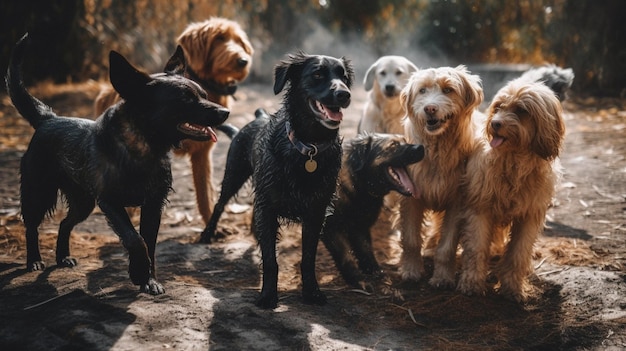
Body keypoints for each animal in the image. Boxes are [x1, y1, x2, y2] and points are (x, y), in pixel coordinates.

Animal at [6, 34, 229, 296]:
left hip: (83, 203)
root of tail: (47, 119)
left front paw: (149, 280)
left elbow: (149, 243)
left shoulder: (153, 204)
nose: (226, 112)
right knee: (31, 226)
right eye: (185, 99)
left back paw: (62, 257)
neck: (142, 149)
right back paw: (34, 260)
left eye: (204, 94)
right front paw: (139, 273)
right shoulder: (111, 202)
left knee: (64, 223)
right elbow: (135, 239)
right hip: (39, 193)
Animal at [202, 51, 354, 310]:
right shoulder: (269, 206)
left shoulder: (316, 212)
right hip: (234, 175)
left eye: (344, 77)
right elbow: (270, 260)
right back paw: (207, 234)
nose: (345, 94)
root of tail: (257, 118)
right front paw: (267, 296)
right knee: (220, 205)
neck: (309, 148)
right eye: (317, 74)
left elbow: (308, 258)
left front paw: (311, 292)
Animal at [322, 133, 424, 290]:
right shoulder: (331, 229)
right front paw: (357, 279)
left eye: (405, 141)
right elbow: (346, 257)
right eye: (393, 145)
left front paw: (375, 272)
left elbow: (366, 251)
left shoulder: (360, 226)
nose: (421, 147)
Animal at [394, 65, 482, 286]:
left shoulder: (456, 203)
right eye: (422, 91)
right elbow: (411, 240)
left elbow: (447, 246)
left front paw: (443, 276)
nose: (430, 108)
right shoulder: (410, 198)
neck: (437, 150)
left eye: (448, 90)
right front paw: (411, 270)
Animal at [454, 78, 564, 304]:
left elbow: (518, 254)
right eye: (499, 107)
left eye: (521, 110)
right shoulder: (480, 209)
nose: (495, 124)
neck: (514, 161)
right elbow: (476, 248)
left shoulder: (529, 216)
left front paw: (513, 288)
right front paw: (471, 283)